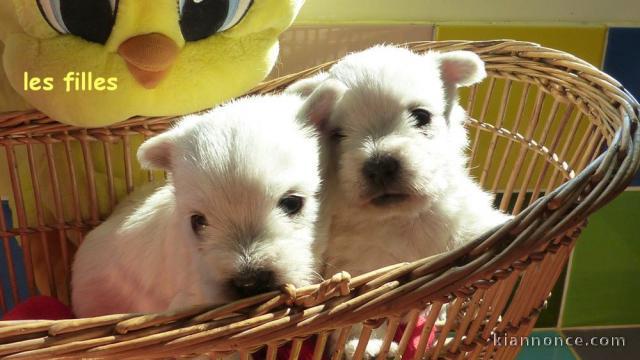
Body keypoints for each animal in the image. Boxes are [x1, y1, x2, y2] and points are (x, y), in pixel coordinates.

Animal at [288, 46, 512, 358]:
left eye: (421, 116)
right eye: (338, 134)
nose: (380, 166)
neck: (404, 219)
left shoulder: (467, 222)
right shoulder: (357, 265)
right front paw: (367, 345)